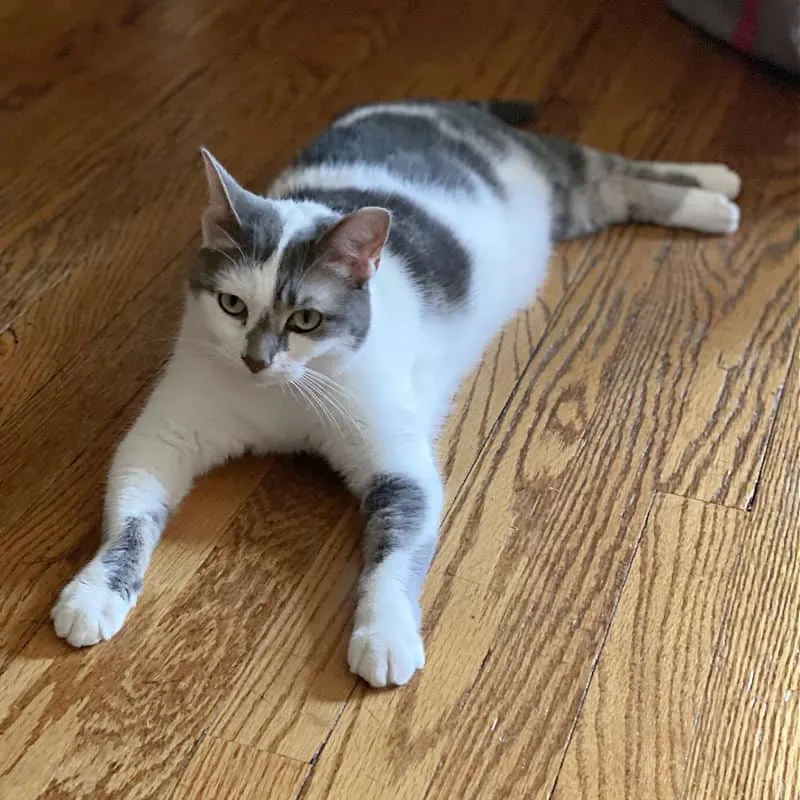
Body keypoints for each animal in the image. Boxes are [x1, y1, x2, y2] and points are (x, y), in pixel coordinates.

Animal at [50, 98, 740, 688]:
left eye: (307, 320)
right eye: (231, 305)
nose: (254, 360)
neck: (285, 396)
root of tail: (435, 104)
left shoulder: (399, 466)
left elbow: (392, 559)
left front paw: (384, 637)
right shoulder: (159, 440)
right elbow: (129, 523)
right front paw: (94, 593)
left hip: (554, 181)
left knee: (607, 168)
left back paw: (717, 194)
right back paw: (720, 186)